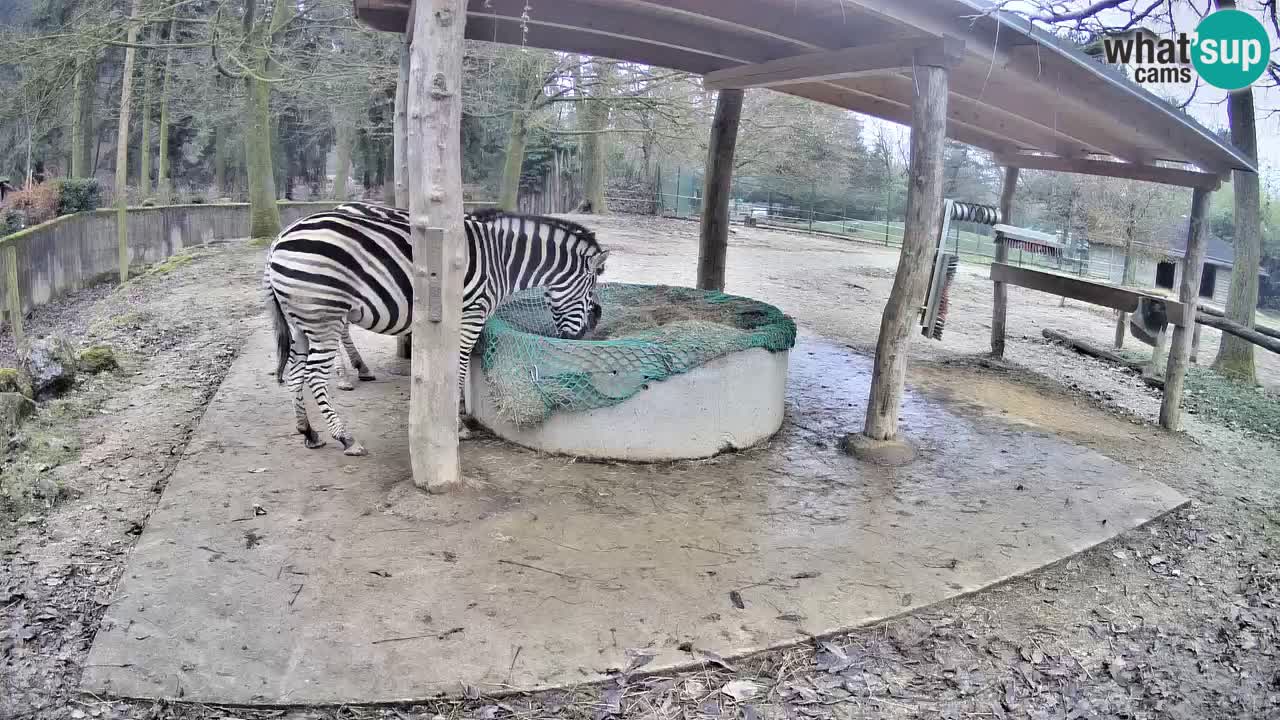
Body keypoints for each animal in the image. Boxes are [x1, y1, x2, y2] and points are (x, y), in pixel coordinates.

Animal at [264, 202, 609, 456]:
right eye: (591, 291)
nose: (583, 336)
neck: (502, 260)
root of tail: (278, 241)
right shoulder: (471, 314)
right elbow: (460, 366)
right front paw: (458, 423)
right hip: (324, 314)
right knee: (313, 375)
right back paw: (345, 436)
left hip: (300, 321)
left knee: (295, 372)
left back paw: (308, 431)